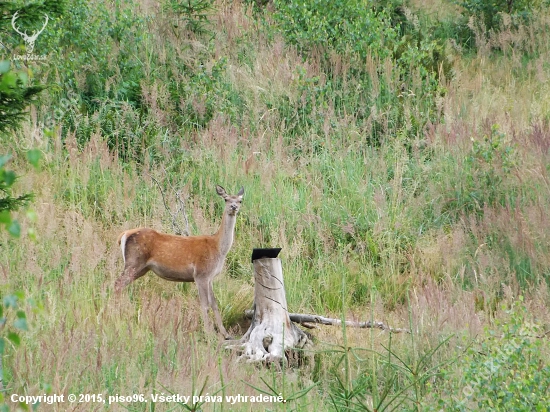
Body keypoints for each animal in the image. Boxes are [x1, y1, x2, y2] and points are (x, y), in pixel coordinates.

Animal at [115, 186, 245, 338]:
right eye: (226, 199)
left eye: (240, 200)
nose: (233, 207)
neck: (218, 248)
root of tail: (123, 235)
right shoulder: (201, 274)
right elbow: (205, 304)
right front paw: (209, 333)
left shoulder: (210, 277)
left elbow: (214, 303)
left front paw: (225, 334)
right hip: (133, 262)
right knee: (117, 283)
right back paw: (117, 313)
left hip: (141, 268)